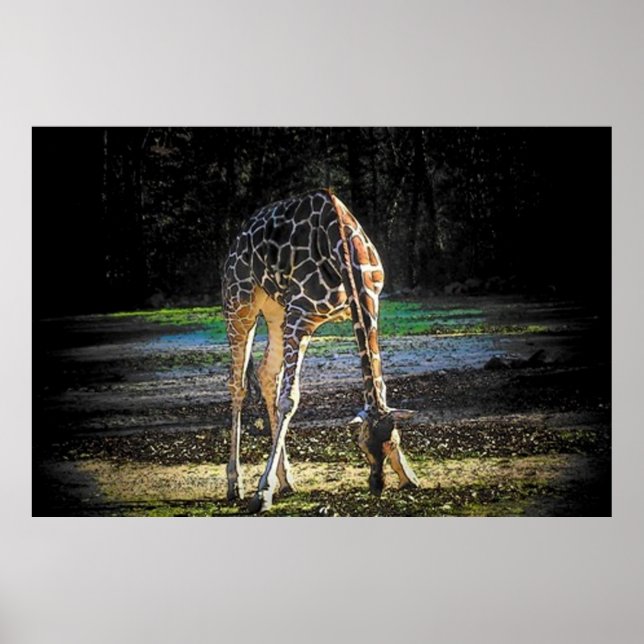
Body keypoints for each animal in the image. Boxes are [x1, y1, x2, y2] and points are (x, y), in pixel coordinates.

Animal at [222, 188, 419, 513]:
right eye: (362, 444)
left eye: (393, 441)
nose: (377, 486)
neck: (345, 250)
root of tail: (238, 235)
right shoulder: (301, 315)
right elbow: (289, 399)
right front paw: (262, 492)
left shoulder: (370, 303)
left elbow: (380, 387)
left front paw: (409, 475)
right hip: (240, 304)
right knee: (238, 384)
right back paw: (235, 484)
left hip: (276, 311)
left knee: (265, 373)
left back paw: (287, 481)